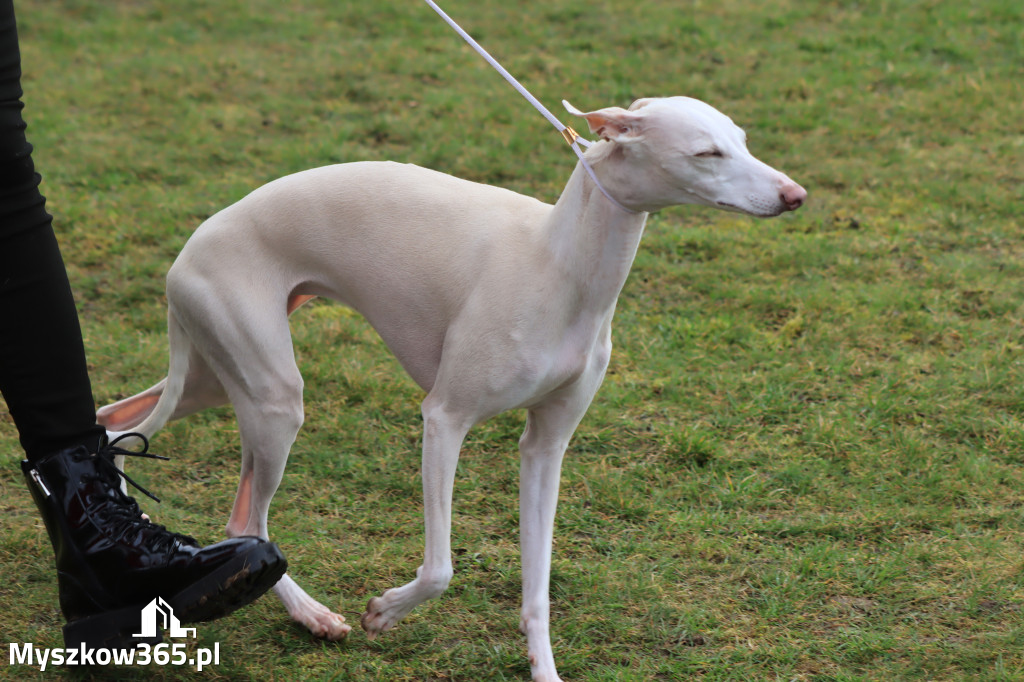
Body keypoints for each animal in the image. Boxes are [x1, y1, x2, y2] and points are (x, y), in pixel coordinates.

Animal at [101, 96, 806, 679]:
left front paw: (543, 668)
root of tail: (187, 253)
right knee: (244, 515)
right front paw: (386, 611)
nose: (796, 195)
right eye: (707, 152)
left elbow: (537, 587)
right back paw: (309, 613)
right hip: (272, 396)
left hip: (219, 376)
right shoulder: (444, 418)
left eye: (743, 140)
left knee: (116, 421)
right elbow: (441, 568)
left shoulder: (546, 447)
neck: (558, 262)